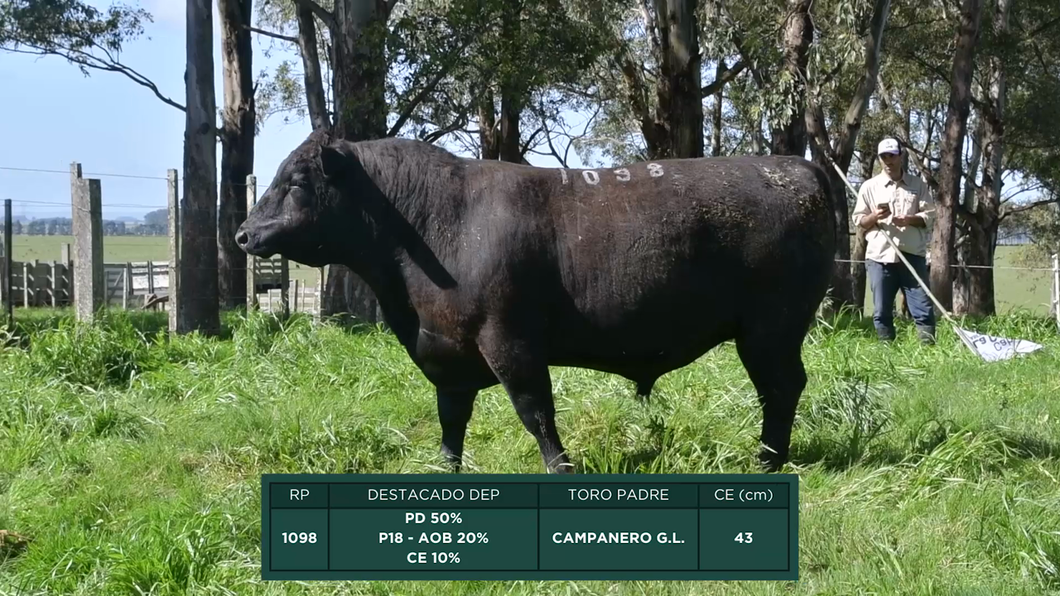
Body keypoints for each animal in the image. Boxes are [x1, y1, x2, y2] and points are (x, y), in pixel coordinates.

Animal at [238, 130, 835, 472]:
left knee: (780, 389)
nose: (244, 234)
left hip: (771, 330)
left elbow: (536, 412)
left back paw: (766, 463)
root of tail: (795, 166)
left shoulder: (510, 341)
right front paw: (445, 474)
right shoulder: (448, 354)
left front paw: (562, 469)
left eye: (295, 181)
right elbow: (451, 422)